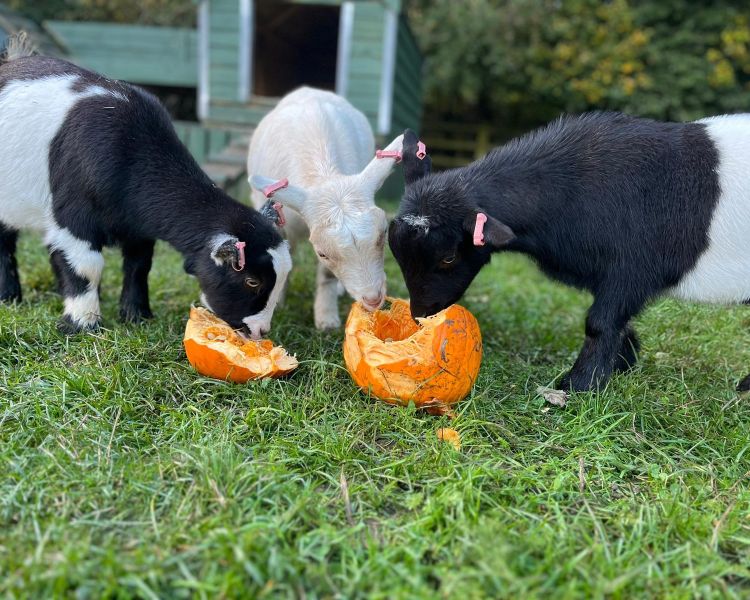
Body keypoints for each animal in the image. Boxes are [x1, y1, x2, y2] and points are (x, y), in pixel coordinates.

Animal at [0, 42, 291, 338]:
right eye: (252, 281)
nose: (260, 331)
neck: (131, 151)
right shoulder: (74, 219)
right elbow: (86, 266)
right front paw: (81, 324)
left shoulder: (137, 228)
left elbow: (139, 265)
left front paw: (136, 316)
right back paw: (10, 298)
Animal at [247, 87, 403, 330]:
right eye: (322, 253)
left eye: (383, 235)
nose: (373, 299)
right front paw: (277, 302)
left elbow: (326, 276)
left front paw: (326, 319)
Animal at [389, 115, 750, 392]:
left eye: (448, 257)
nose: (421, 314)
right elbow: (617, 324)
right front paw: (623, 365)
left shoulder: (631, 270)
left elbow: (599, 323)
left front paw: (579, 386)